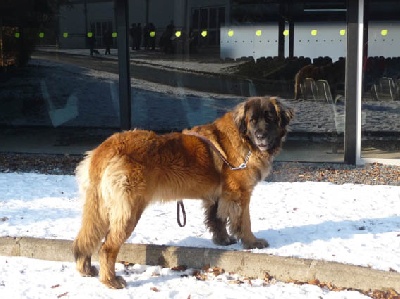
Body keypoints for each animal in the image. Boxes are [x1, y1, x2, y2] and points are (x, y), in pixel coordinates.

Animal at [72, 96, 294, 288]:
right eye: (252, 121)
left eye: (270, 118)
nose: (261, 135)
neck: (244, 139)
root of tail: (107, 147)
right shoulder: (240, 193)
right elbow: (244, 221)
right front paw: (252, 242)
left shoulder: (218, 196)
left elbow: (217, 219)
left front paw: (223, 241)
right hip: (129, 210)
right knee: (106, 247)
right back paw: (111, 281)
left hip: (99, 206)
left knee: (85, 238)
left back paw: (86, 269)